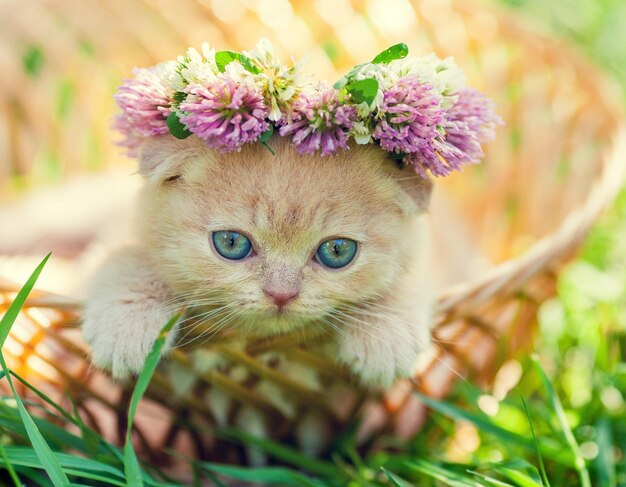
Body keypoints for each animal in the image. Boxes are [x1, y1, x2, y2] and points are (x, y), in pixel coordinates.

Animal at [81, 135, 434, 386]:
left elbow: (412, 278)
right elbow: (126, 258)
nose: (281, 294)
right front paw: (127, 323)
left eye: (337, 251)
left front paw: (385, 335)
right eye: (231, 243)